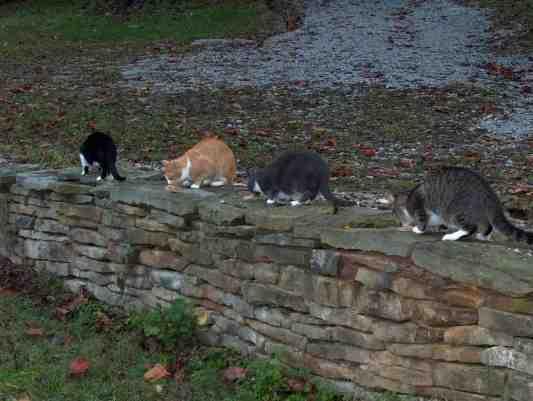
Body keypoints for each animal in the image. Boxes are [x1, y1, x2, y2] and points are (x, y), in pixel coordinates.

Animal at [386, 166, 532, 244]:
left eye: (395, 213)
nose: (400, 223)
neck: (408, 196)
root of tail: (489, 194)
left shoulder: (418, 205)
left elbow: (422, 219)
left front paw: (418, 229)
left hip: (456, 209)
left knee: (470, 227)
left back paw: (452, 236)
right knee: (486, 225)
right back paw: (483, 235)